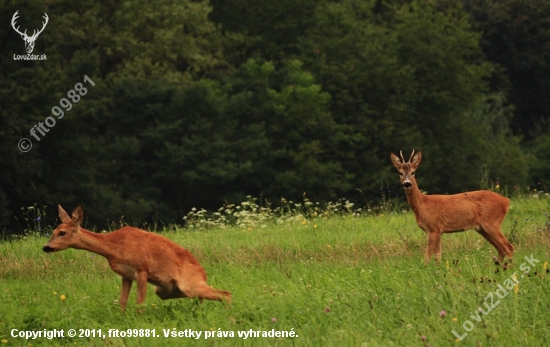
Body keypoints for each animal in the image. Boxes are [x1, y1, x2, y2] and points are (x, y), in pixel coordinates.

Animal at [43, 205, 231, 314]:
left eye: (62, 232)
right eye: (53, 231)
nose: (46, 247)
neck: (114, 248)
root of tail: (203, 272)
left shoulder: (142, 269)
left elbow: (140, 302)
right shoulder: (126, 275)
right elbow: (122, 302)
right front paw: (122, 320)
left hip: (188, 285)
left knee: (226, 294)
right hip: (166, 290)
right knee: (206, 297)